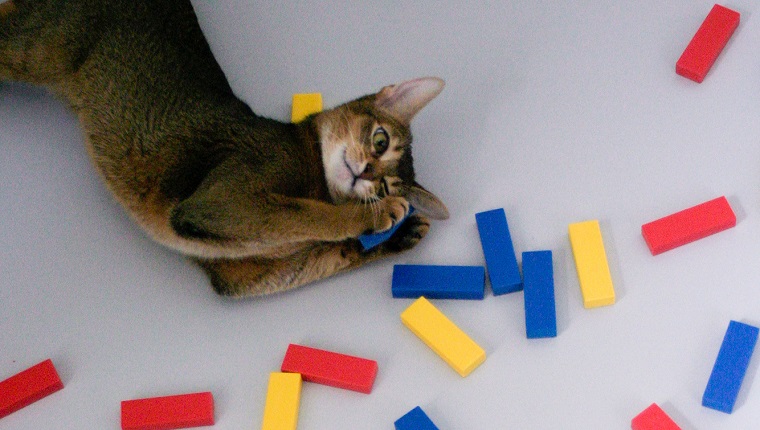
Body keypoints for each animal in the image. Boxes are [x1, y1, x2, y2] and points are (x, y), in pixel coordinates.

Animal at [0, 0, 448, 298]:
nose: (368, 176)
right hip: (33, 50)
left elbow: (328, 254)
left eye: (387, 183)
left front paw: (402, 235)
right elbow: (309, 213)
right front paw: (378, 217)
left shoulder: (239, 276)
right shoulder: (222, 200)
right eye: (380, 141)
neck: (314, 174)